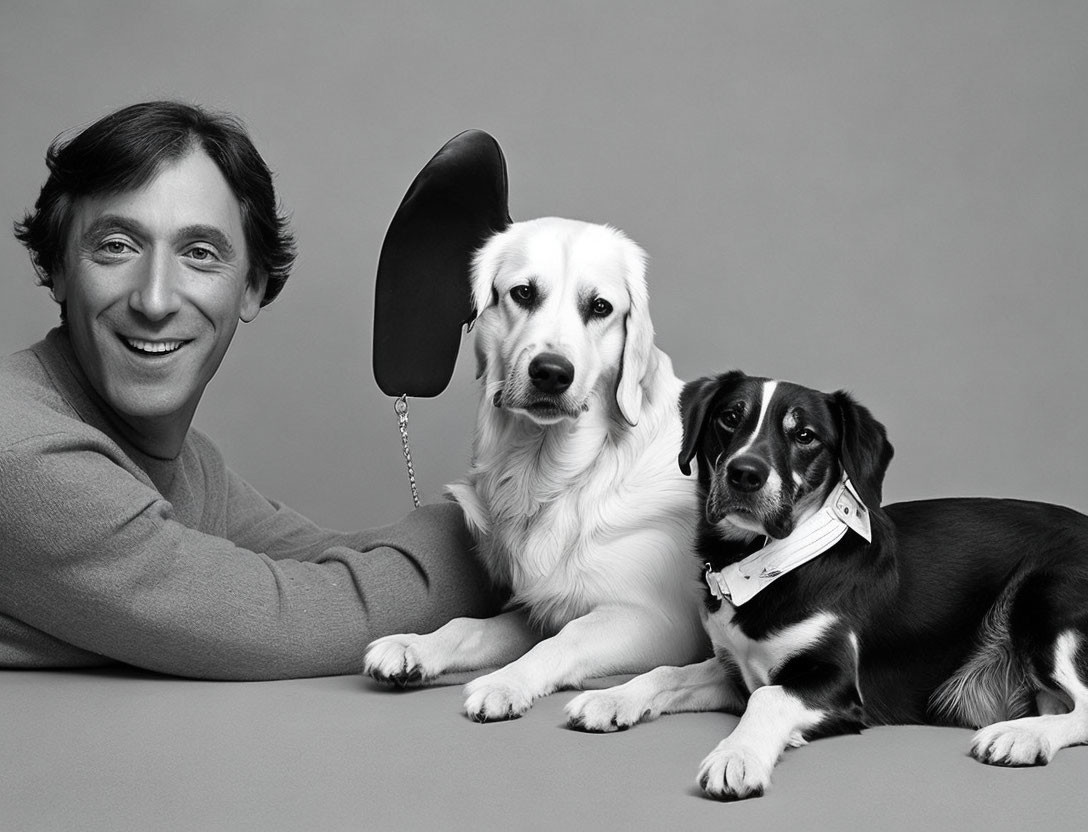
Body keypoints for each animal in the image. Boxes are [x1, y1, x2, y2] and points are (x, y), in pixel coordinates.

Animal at [363, 217, 705, 717]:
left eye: (600, 307)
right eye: (523, 293)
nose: (551, 372)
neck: (556, 475)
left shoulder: (657, 621)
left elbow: (564, 641)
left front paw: (505, 682)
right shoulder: (537, 607)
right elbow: (470, 625)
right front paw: (415, 646)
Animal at [565, 371, 1088, 800]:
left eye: (805, 435)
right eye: (729, 418)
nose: (744, 473)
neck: (764, 566)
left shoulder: (835, 682)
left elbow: (767, 699)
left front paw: (737, 756)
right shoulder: (735, 669)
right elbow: (667, 673)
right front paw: (611, 698)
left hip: (1044, 598)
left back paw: (1022, 737)